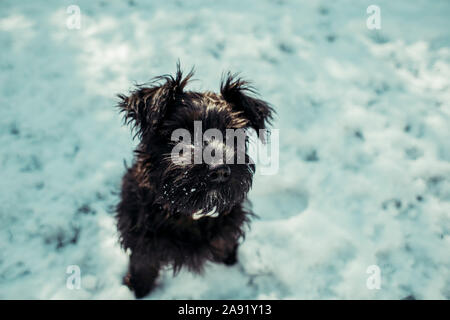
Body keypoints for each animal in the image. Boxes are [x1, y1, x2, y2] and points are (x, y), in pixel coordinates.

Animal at [114, 64, 272, 298]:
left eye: (233, 133)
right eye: (181, 134)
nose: (219, 170)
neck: (187, 213)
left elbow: (227, 243)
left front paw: (231, 263)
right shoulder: (142, 242)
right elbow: (142, 269)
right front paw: (137, 291)